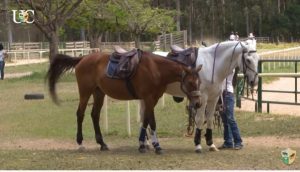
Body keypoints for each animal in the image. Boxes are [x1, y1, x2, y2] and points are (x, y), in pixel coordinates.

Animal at [46, 48, 202, 155]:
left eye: (199, 82)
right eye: (190, 83)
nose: (198, 103)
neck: (155, 69)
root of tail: (83, 58)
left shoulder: (152, 100)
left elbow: (145, 121)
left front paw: (142, 145)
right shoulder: (148, 98)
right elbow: (152, 122)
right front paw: (157, 146)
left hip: (99, 93)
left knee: (95, 115)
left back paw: (102, 143)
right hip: (85, 92)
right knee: (80, 114)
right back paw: (80, 143)